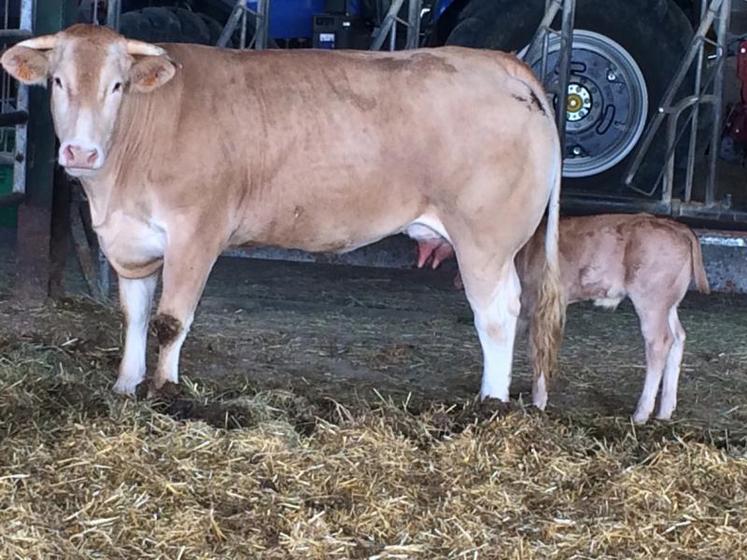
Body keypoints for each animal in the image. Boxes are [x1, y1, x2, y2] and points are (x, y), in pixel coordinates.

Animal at [0, 25, 560, 402]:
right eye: (57, 82)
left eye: (117, 86)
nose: (80, 153)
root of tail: (497, 63)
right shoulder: (131, 243)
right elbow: (134, 314)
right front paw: (124, 385)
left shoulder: (196, 232)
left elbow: (170, 320)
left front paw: (164, 390)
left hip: (485, 239)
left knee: (498, 312)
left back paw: (490, 403)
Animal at [418, 214, 712, 424]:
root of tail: (678, 227)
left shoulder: (537, 305)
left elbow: (537, 351)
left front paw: (537, 403)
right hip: (668, 302)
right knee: (678, 337)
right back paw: (665, 410)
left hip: (651, 298)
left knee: (659, 342)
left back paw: (641, 414)